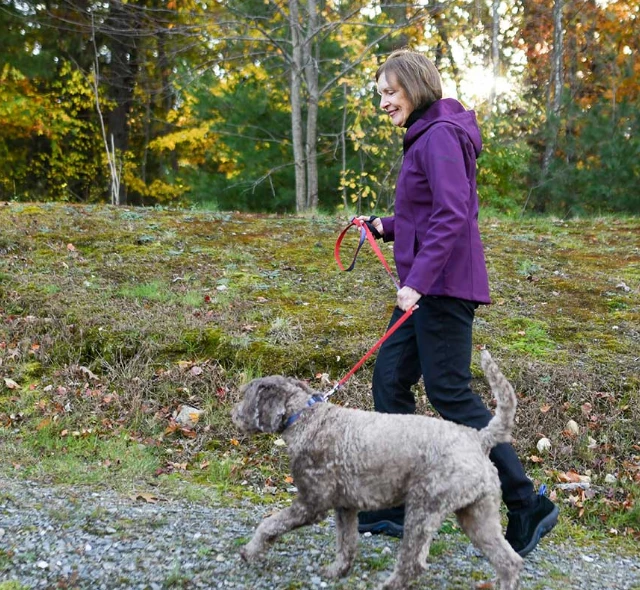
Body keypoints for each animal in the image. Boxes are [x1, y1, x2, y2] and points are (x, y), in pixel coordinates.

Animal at [232, 354, 524, 588]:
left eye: (247, 396)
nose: (234, 414)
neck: (307, 419)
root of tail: (479, 438)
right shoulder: (345, 507)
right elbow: (346, 543)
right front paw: (337, 570)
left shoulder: (312, 503)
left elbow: (269, 524)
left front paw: (250, 552)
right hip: (477, 514)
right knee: (508, 561)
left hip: (423, 508)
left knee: (413, 562)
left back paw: (390, 584)